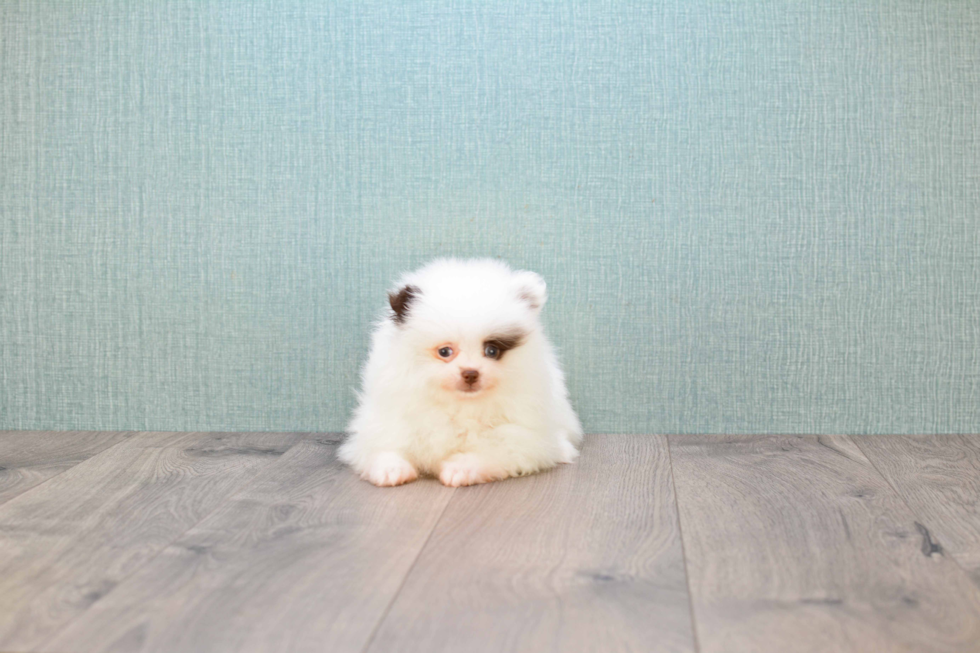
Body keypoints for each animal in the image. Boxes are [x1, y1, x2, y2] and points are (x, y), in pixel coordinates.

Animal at [336, 258, 580, 486]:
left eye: (491, 351)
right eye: (445, 351)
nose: (470, 373)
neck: (459, 405)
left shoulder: (522, 435)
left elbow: (491, 449)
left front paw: (460, 468)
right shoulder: (385, 422)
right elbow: (384, 447)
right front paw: (391, 470)